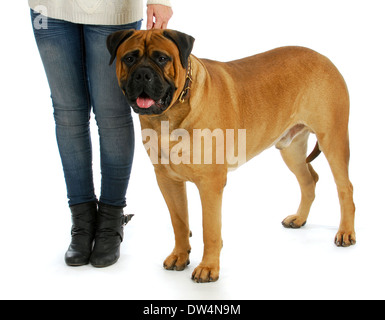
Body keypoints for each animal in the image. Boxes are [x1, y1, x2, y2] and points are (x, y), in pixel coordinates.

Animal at [107, 28, 354, 282]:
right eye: (129, 58)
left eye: (162, 58)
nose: (142, 74)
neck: (171, 113)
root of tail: (323, 57)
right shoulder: (167, 180)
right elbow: (179, 221)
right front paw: (180, 255)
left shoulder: (210, 184)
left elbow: (210, 228)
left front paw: (208, 267)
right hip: (291, 149)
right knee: (309, 180)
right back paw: (299, 218)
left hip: (333, 139)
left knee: (345, 187)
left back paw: (345, 232)